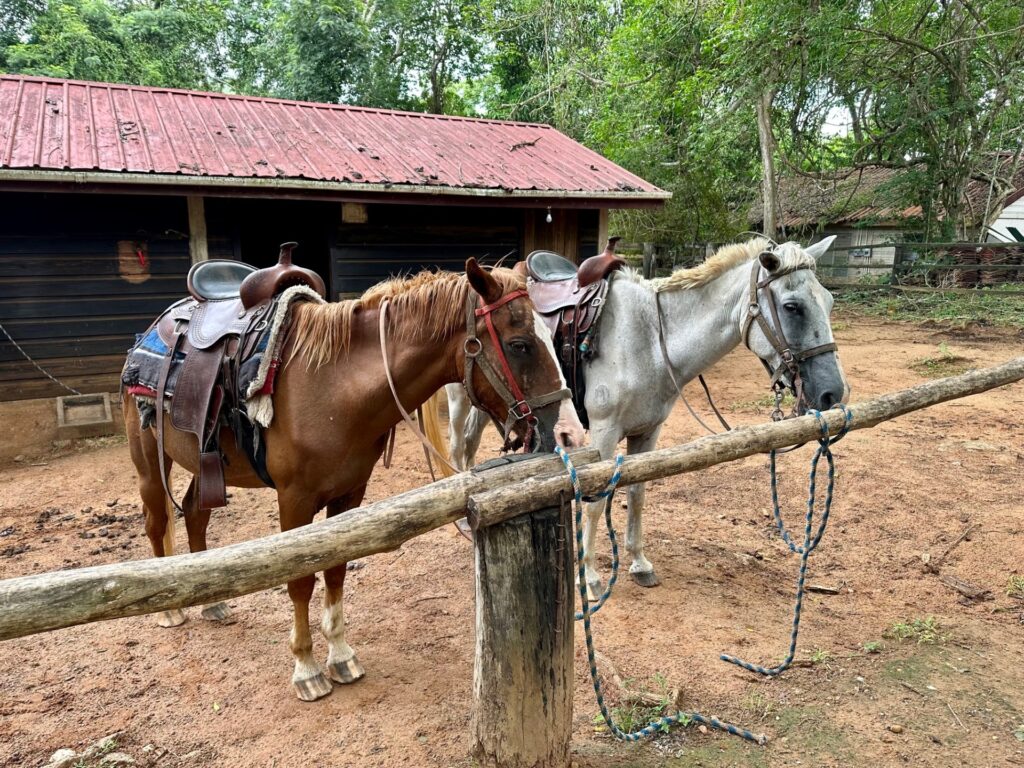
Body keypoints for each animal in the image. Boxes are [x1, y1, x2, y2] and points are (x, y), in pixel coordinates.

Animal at [122, 264, 581, 704]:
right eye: (520, 344)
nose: (569, 435)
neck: (332, 386)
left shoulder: (350, 493)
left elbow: (336, 571)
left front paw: (341, 657)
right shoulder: (294, 499)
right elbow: (300, 581)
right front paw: (306, 669)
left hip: (205, 465)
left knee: (194, 514)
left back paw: (212, 604)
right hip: (148, 462)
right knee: (156, 520)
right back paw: (169, 612)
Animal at [448, 239, 847, 593]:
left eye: (828, 301)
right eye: (793, 306)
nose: (832, 393)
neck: (650, 340)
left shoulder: (649, 431)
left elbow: (637, 493)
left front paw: (639, 563)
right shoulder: (604, 433)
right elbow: (595, 504)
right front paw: (588, 576)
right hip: (462, 399)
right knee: (458, 447)